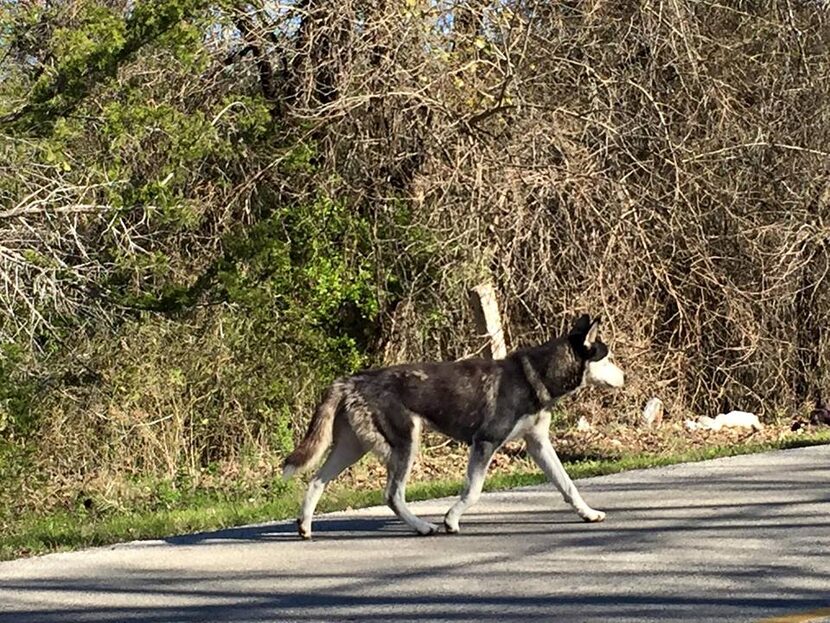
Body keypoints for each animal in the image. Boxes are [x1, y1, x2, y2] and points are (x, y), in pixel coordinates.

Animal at [284, 314, 624, 540]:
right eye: (607, 357)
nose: (626, 376)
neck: (537, 375)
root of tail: (349, 380)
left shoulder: (538, 444)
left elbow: (567, 484)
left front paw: (588, 513)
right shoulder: (485, 442)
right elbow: (473, 491)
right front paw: (451, 519)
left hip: (351, 448)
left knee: (316, 481)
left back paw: (305, 526)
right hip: (406, 442)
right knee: (392, 494)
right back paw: (423, 526)